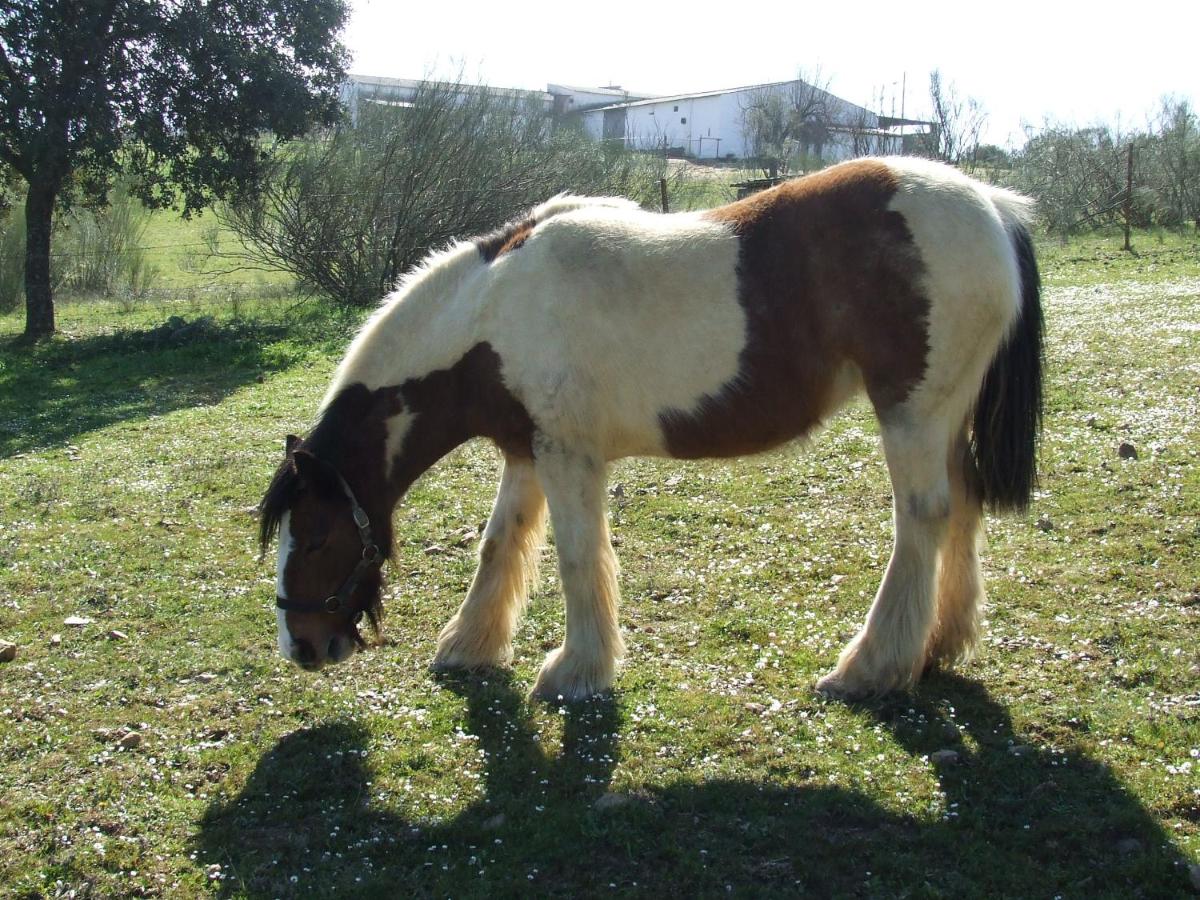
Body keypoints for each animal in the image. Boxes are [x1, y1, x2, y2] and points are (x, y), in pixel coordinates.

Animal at [260, 157, 1041, 705]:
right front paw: (471, 645)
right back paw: (940, 646)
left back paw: (872, 667)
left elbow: (578, 557)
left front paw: (576, 670)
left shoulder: (567, 457)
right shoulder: (528, 453)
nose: (302, 645)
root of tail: (994, 206)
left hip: (911, 414)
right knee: (963, 507)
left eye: (320, 535)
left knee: (923, 519)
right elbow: (499, 546)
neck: (493, 315)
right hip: (944, 417)